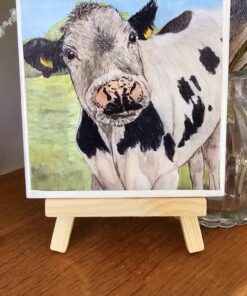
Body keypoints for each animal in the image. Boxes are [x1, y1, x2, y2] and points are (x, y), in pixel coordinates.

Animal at [23, 1, 222, 191]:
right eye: (69, 54)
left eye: (132, 37)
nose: (118, 89)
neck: (114, 142)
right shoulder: (98, 177)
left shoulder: (166, 175)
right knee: (196, 166)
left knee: (212, 162)